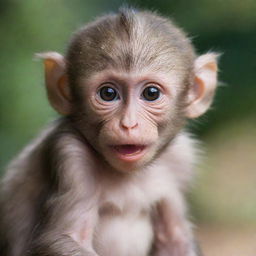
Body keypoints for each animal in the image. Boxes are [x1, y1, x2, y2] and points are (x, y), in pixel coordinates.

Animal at [0, 7, 218, 256]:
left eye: (151, 93)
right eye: (108, 93)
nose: (129, 124)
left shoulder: (181, 158)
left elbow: (175, 240)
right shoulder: (70, 154)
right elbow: (63, 238)